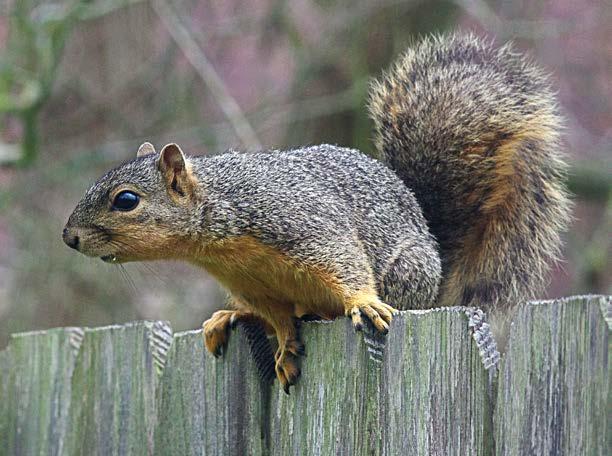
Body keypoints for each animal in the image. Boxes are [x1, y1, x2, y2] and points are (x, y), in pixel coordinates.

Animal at [62, 33, 568, 392]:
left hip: (407, 273)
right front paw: (286, 345)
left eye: (126, 200)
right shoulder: (253, 285)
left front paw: (361, 301)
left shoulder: (301, 222)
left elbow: (342, 261)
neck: (220, 226)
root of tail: (438, 272)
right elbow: (278, 317)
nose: (69, 238)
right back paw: (232, 318)